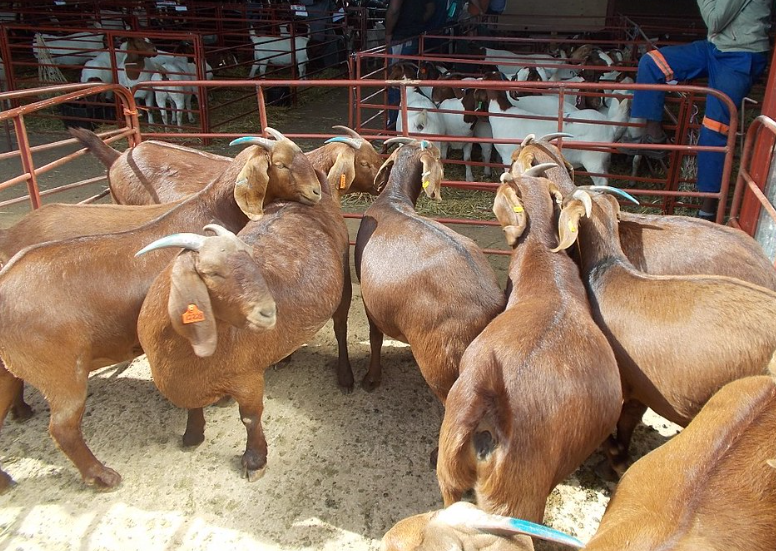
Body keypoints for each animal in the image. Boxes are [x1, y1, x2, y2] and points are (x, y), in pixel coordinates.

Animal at [0, 129, 321, 491]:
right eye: (281, 164)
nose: (316, 192)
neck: (211, 209)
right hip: (61, 373)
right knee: (63, 427)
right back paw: (102, 475)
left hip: (9, 369)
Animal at [136, 167, 352, 481]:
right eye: (213, 272)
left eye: (252, 260)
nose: (269, 312)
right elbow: (193, 407)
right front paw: (193, 435)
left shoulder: (246, 375)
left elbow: (250, 417)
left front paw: (255, 460)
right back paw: (284, 357)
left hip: (345, 278)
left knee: (340, 327)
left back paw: (345, 376)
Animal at [354, 138, 505, 403]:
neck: (393, 200)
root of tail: (492, 309)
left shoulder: (368, 299)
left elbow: (375, 337)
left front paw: (371, 378)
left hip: (442, 371)